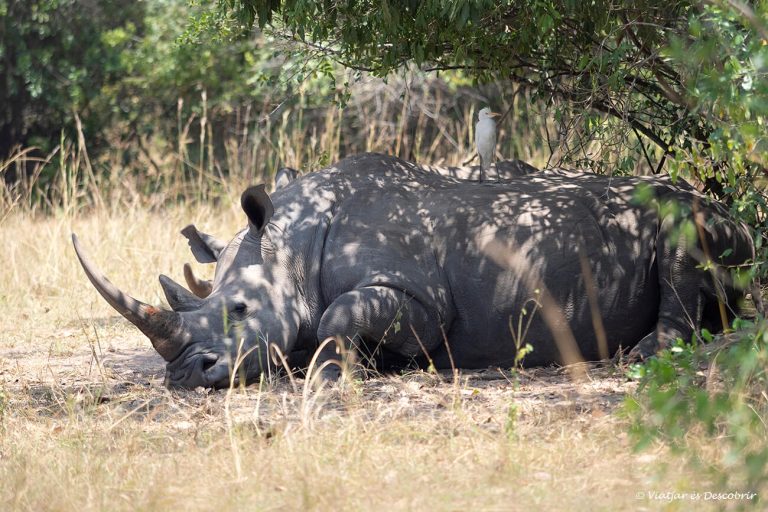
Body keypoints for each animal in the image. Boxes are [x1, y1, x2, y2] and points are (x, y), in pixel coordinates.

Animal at [73, 153, 755, 388]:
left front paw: (334, 371)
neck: (293, 244)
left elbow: (337, 313)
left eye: (240, 310)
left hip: (692, 211)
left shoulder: (424, 298)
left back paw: (645, 355)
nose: (186, 374)